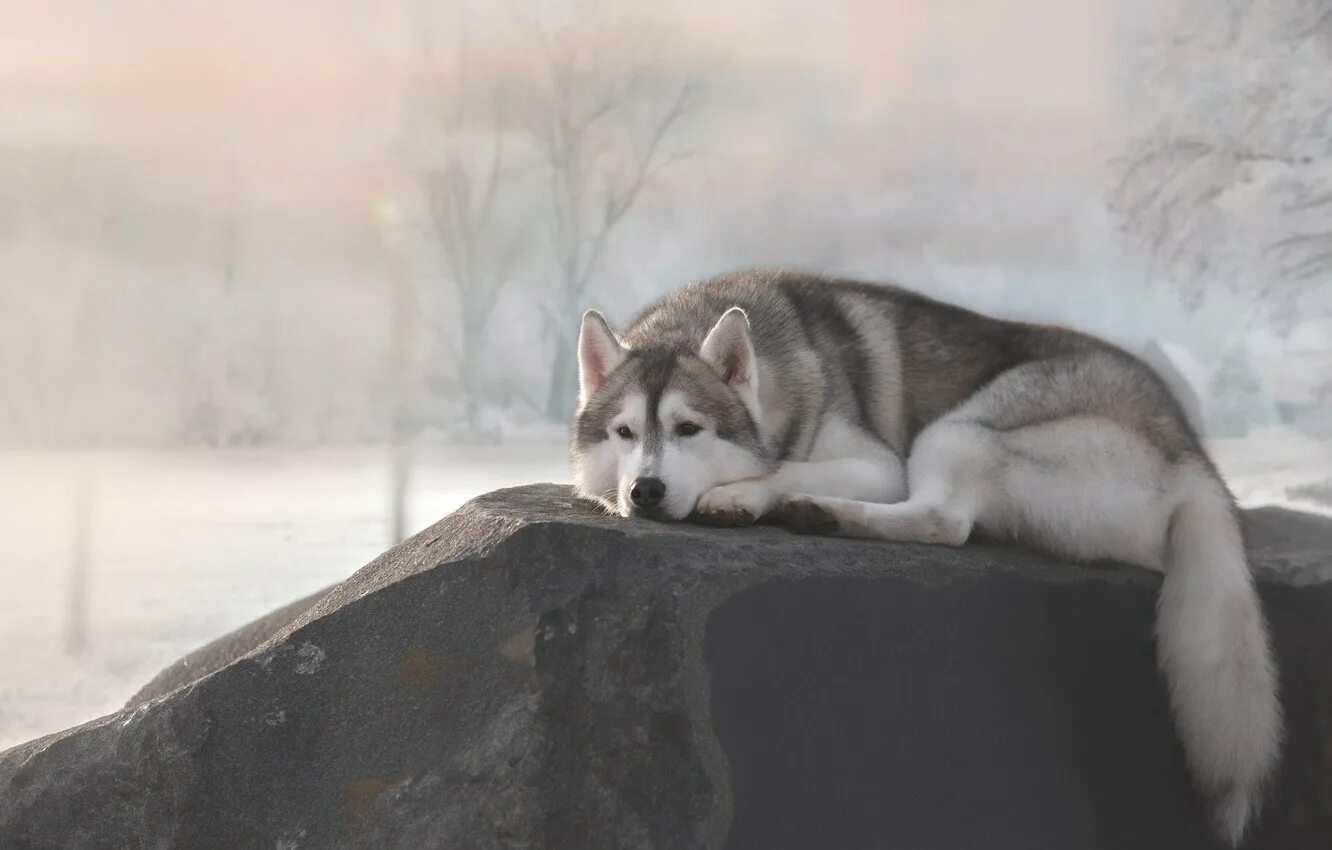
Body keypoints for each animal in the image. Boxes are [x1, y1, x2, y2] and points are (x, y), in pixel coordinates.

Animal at [570, 267, 1278, 847]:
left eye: (689, 429)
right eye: (624, 433)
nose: (645, 491)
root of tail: (1194, 455)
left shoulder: (880, 465)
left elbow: (786, 468)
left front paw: (743, 492)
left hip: (960, 430)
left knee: (944, 519)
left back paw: (822, 512)